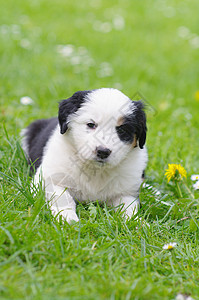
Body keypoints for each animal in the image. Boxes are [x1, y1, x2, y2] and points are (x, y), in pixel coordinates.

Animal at [21, 88, 148, 224]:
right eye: (91, 124)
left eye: (122, 130)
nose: (103, 152)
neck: (95, 170)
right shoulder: (47, 179)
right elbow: (63, 197)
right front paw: (68, 218)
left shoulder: (126, 191)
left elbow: (129, 207)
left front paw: (137, 223)